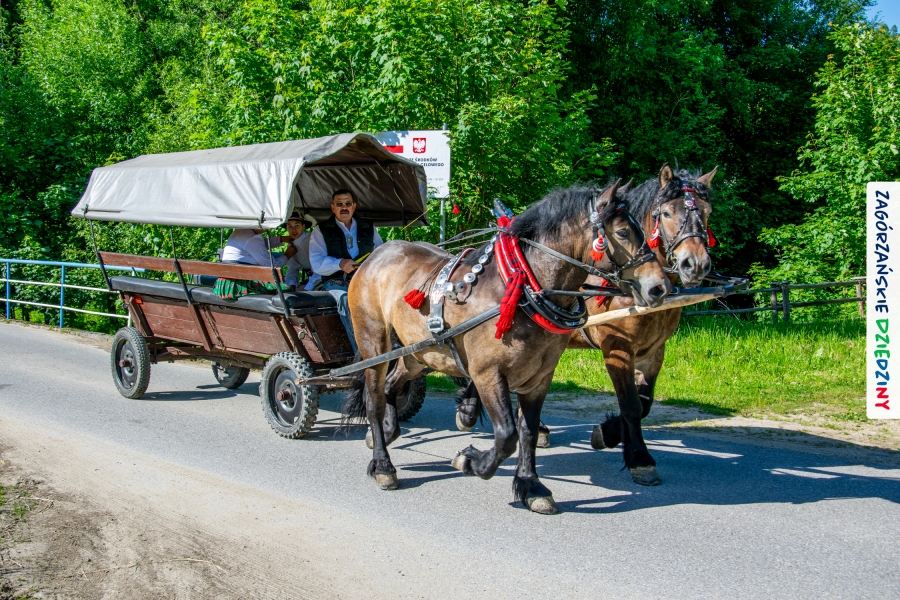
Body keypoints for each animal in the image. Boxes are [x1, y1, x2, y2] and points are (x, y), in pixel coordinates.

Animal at [342, 180, 671, 514]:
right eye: (622, 232)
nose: (659, 288)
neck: (522, 289)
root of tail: (374, 257)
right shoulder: (487, 374)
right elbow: (507, 434)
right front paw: (470, 461)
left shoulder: (540, 376)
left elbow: (527, 431)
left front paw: (531, 486)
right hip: (375, 344)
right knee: (373, 399)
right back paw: (383, 464)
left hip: (418, 353)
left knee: (391, 386)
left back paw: (386, 432)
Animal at [455, 164, 718, 486]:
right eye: (666, 213)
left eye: (707, 211)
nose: (696, 264)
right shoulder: (617, 348)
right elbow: (631, 405)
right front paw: (636, 456)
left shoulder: (655, 351)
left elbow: (644, 402)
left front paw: (615, 438)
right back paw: (470, 410)